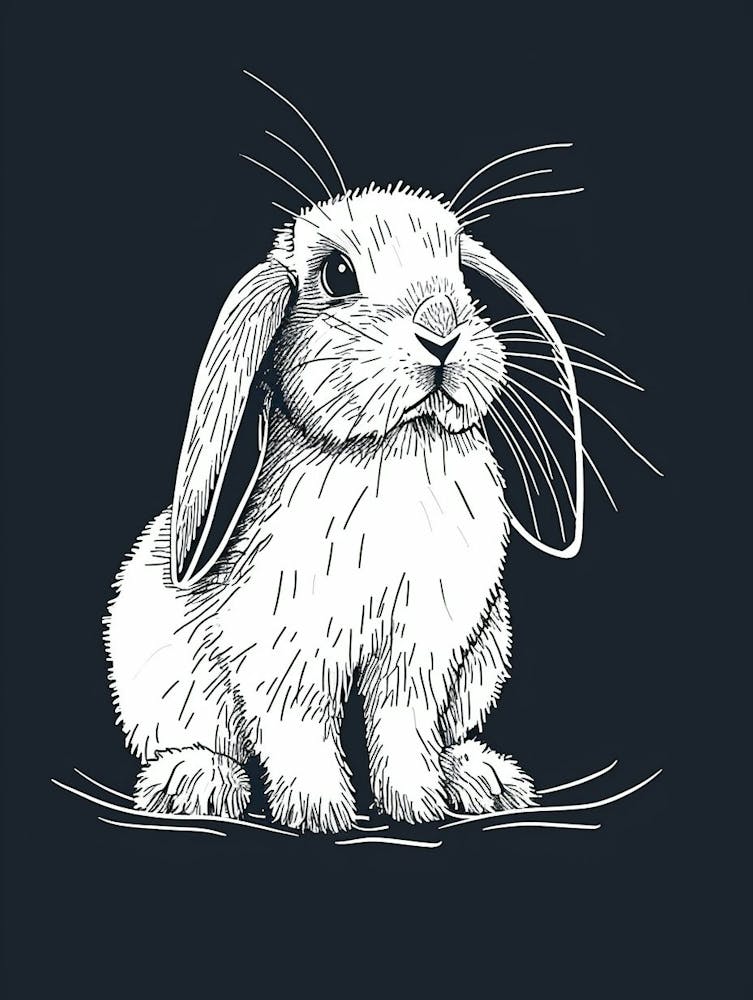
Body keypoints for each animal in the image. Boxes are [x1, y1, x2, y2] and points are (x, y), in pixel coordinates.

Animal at [104, 176, 589, 833]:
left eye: (459, 273)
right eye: (337, 275)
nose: (442, 333)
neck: (392, 449)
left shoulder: (418, 655)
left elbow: (404, 731)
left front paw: (418, 806)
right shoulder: (287, 656)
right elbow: (301, 730)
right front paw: (319, 814)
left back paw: (478, 780)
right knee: (200, 740)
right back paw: (196, 783)